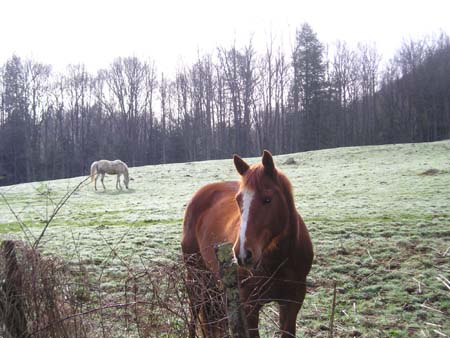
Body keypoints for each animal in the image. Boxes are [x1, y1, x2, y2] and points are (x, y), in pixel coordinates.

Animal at [182, 151, 312, 338]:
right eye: (238, 200)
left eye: (267, 199)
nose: (243, 254)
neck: (278, 259)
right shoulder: (249, 306)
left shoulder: (292, 303)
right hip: (196, 278)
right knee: (193, 314)